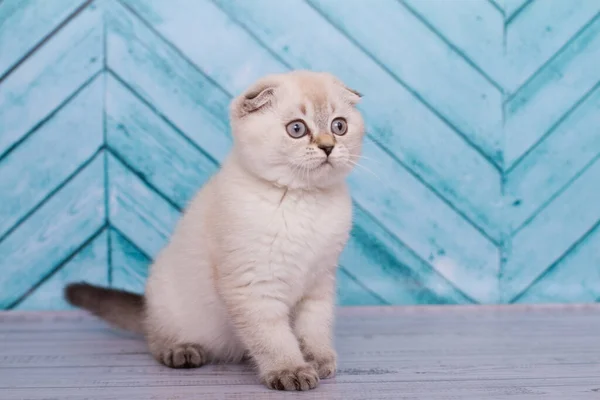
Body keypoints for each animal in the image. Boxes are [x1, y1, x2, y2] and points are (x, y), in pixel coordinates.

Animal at [65, 69, 366, 390]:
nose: (328, 146)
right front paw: (291, 371)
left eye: (339, 126)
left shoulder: (318, 283)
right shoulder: (254, 286)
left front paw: (317, 361)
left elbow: (313, 329)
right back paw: (182, 351)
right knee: (154, 338)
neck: (303, 199)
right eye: (296, 129)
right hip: (167, 298)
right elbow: (274, 338)